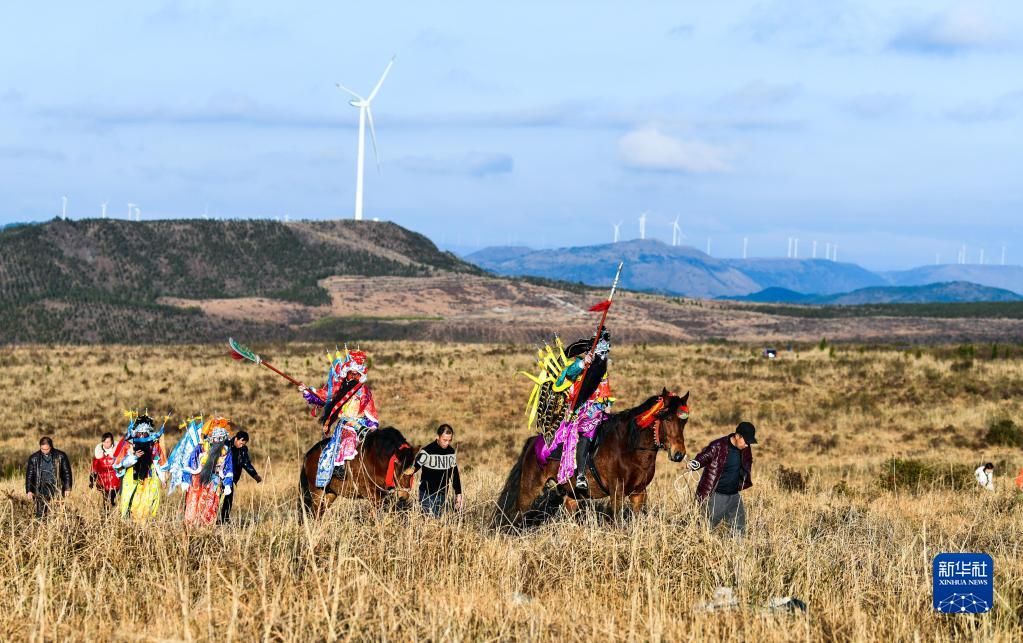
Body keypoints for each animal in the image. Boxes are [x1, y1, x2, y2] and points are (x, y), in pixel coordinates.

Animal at [493, 386, 691, 527]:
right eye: (667, 418)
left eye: (684, 421)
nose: (679, 454)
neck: (630, 447)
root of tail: (534, 441)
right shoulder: (617, 492)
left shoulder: (639, 493)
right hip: (529, 491)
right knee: (516, 517)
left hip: (572, 495)